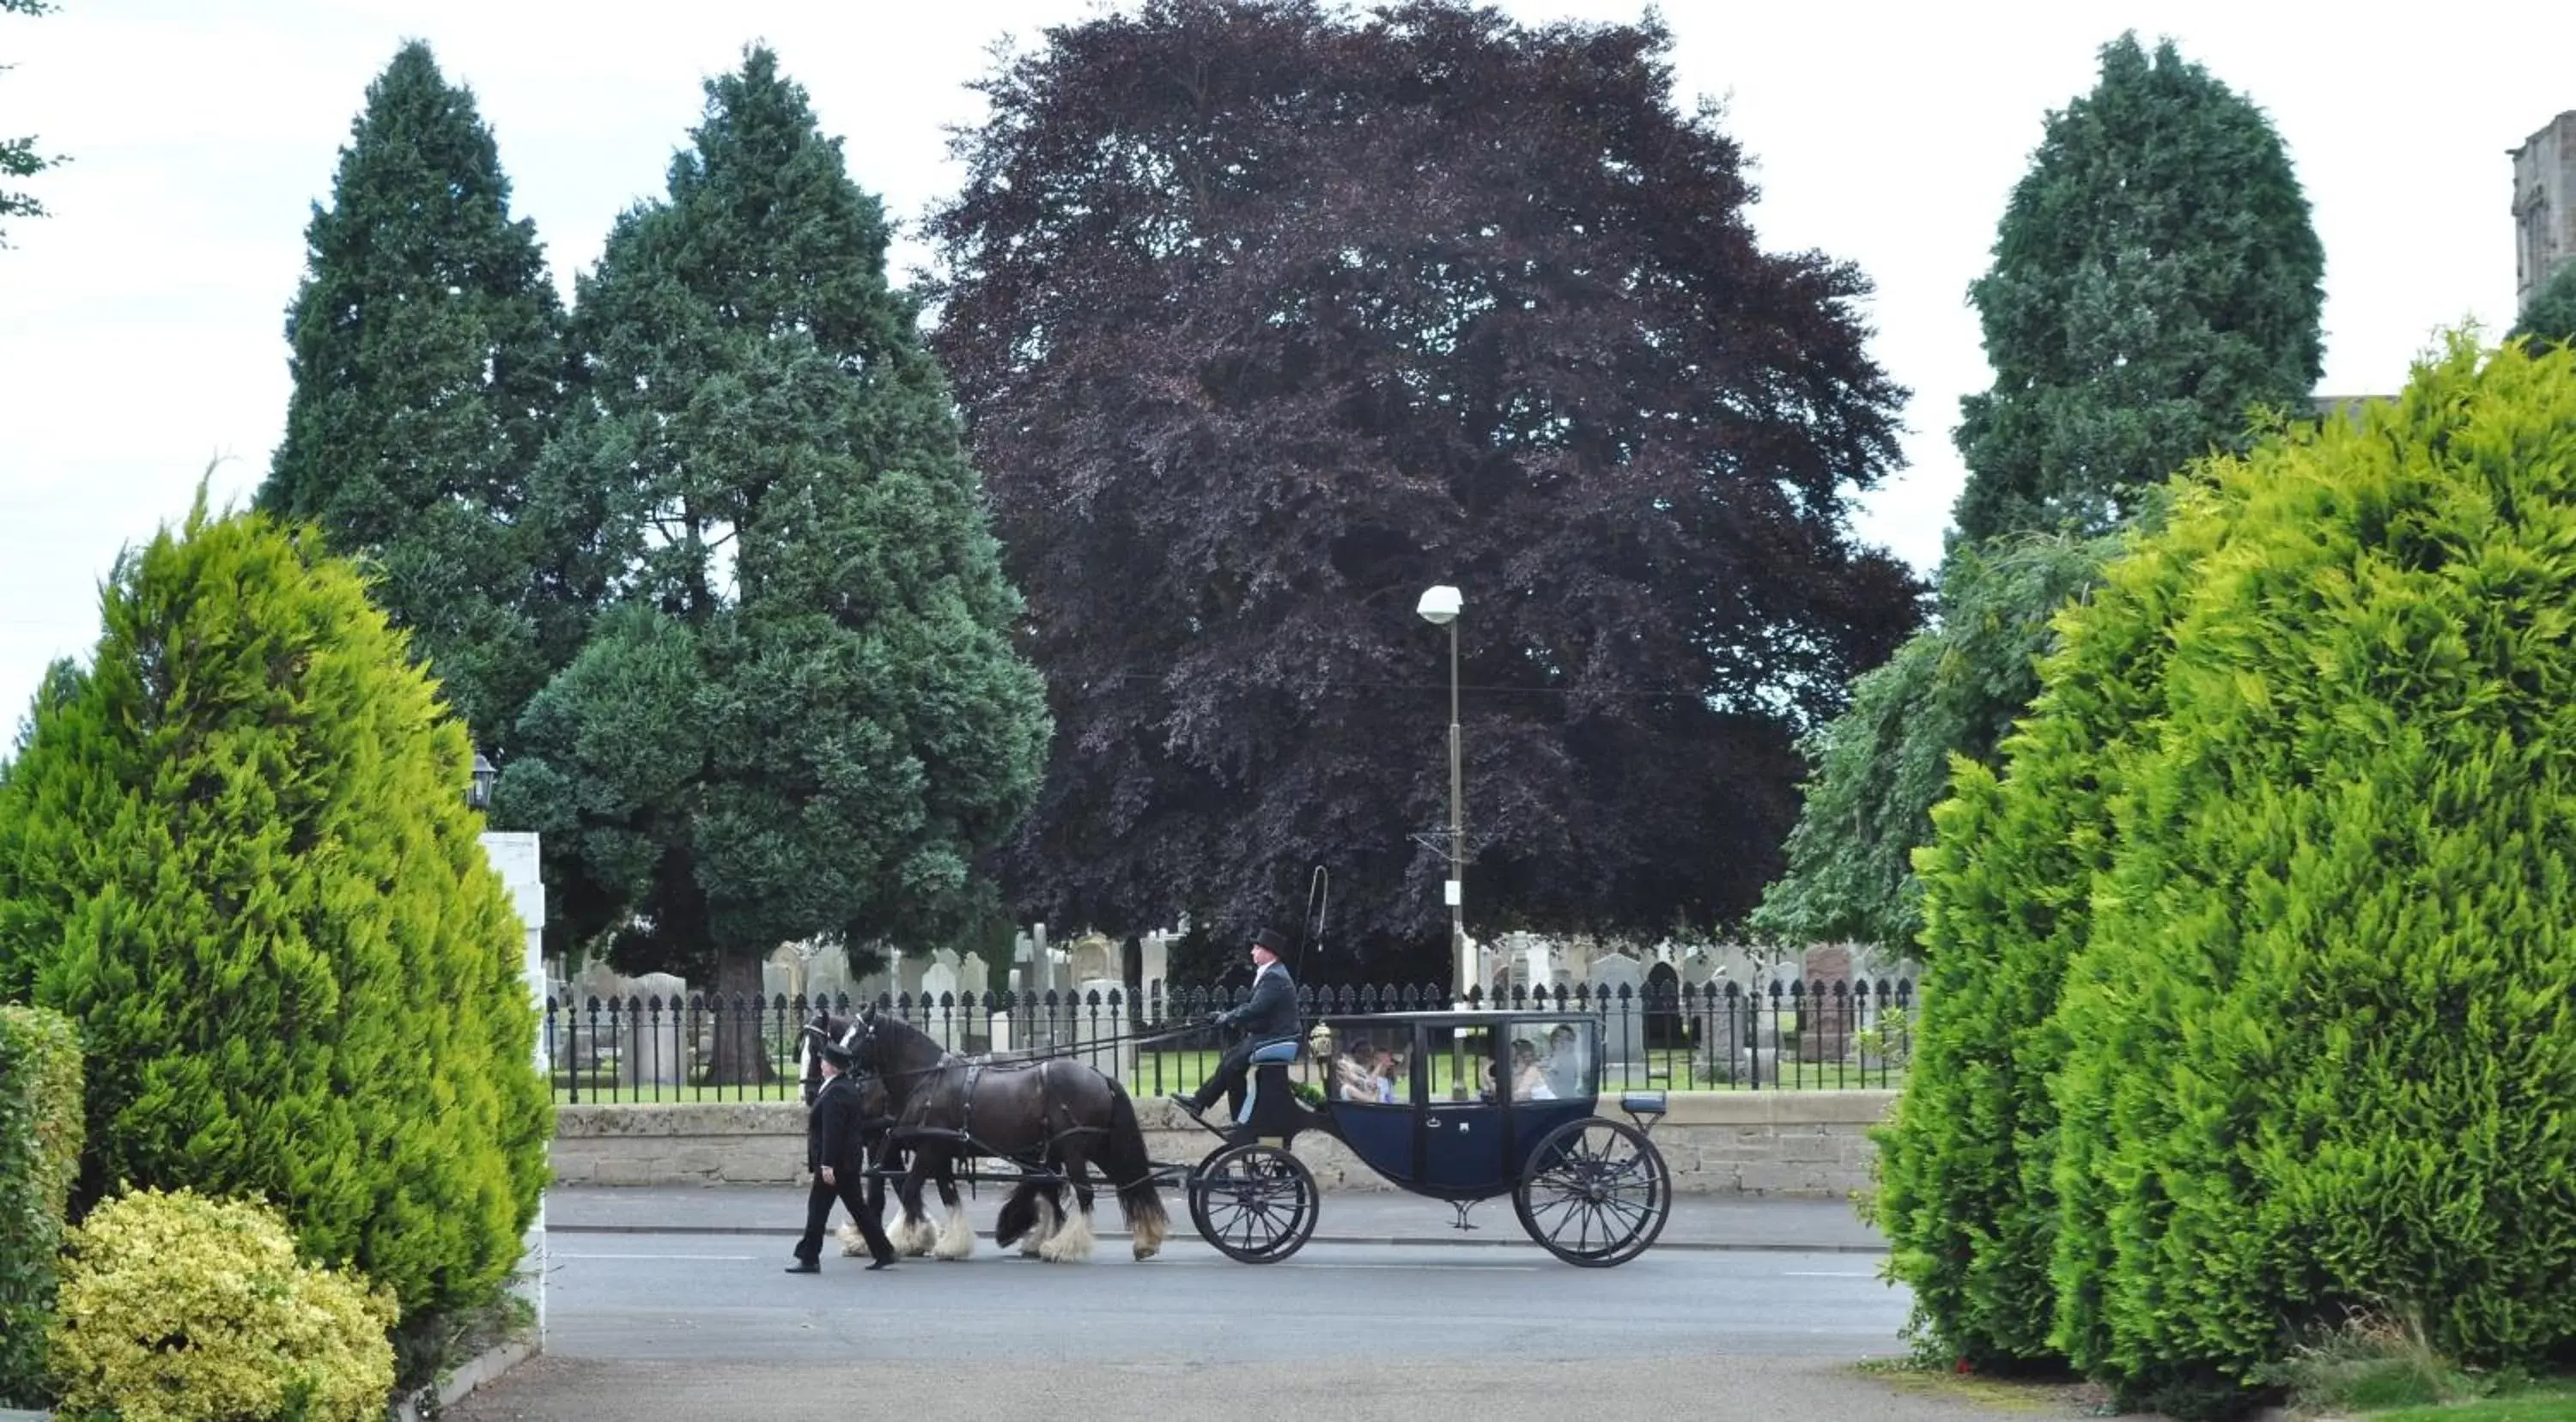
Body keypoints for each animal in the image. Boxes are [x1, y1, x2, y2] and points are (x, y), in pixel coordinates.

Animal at [845, 1005, 1170, 1262]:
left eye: (858, 1034)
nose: (840, 1066)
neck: (928, 1078)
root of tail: (1099, 1075)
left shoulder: (929, 1150)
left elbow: (910, 1191)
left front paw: (907, 1238)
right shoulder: (940, 1153)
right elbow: (947, 1196)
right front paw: (951, 1244)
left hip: (1074, 1149)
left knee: (1085, 1193)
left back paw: (1062, 1247)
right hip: (1100, 1147)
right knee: (1129, 1183)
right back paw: (1145, 1240)